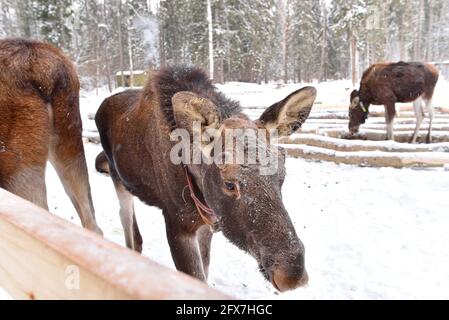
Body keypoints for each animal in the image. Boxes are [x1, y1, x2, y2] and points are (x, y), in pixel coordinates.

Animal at [96, 65, 316, 292]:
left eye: (282, 173)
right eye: (229, 184)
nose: (292, 274)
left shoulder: (206, 222)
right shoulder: (177, 224)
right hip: (117, 178)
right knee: (126, 220)